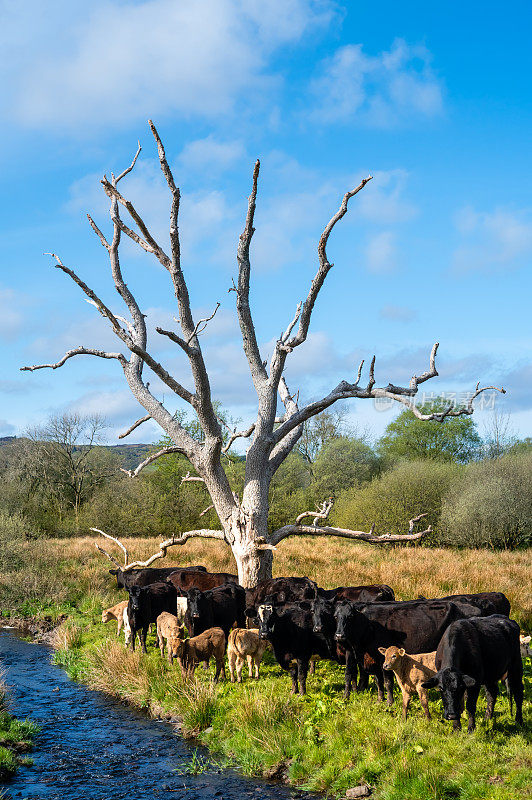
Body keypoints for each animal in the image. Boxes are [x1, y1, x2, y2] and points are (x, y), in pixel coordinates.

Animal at [334, 596, 484, 704]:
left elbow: (387, 681)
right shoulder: (370, 658)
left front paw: (389, 702)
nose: (339, 635)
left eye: (350, 616)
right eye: (336, 616)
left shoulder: (383, 658)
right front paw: (379, 700)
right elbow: (376, 681)